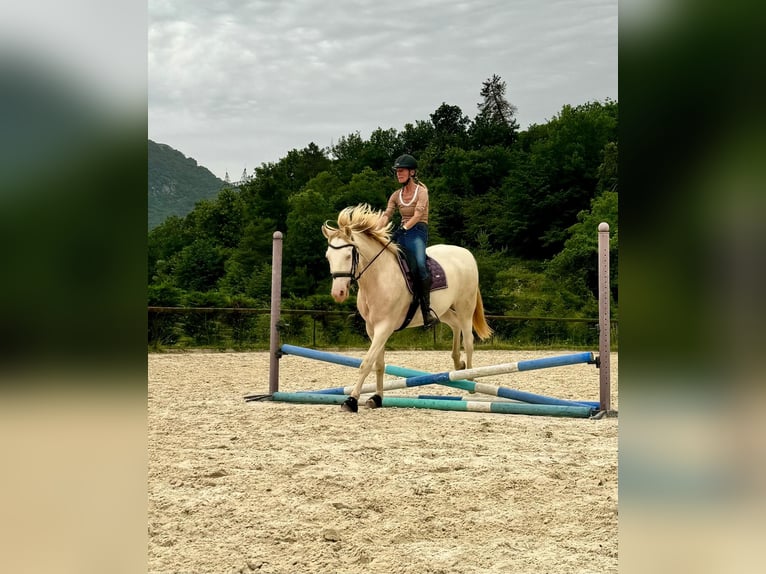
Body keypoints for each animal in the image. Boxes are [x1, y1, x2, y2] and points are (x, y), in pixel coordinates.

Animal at [322, 205, 492, 412]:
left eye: (348, 256)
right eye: (328, 257)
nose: (338, 293)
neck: (379, 276)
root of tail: (466, 254)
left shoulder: (384, 327)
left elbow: (367, 363)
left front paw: (351, 400)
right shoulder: (372, 328)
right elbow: (379, 364)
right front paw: (376, 398)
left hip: (465, 307)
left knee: (468, 340)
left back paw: (470, 380)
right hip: (443, 311)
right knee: (455, 325)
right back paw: (458, 363)